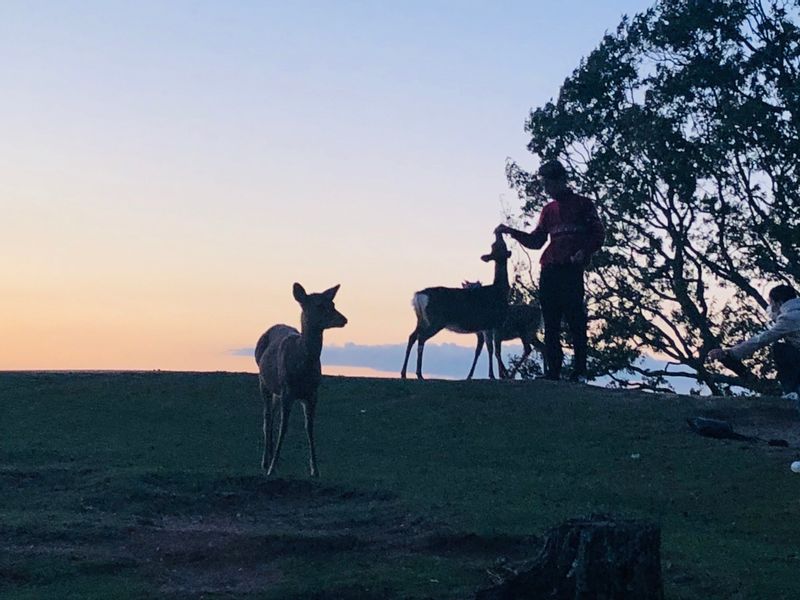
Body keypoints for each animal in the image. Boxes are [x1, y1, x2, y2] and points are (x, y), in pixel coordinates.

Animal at [255, 282, 346, 478]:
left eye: (333, 303)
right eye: (319, 305)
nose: (344, 319)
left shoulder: (313, 393)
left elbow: (309, 428)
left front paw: (315, 470)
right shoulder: (288, 391)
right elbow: (284, 427)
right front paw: (272, 469)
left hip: (277, 392)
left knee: (272, 417)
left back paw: (273, 458)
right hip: (264, 382)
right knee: (267, 418)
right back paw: (266, 462)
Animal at [404, 234, 510, 380]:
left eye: (501, 246)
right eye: (496, 246)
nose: (499, 236)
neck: (500, 291)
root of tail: (419, 296)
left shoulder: (485, 326)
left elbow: (487, 349)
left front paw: (489, 375)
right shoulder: (493, 323)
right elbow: (495, 350)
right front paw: (496, 375)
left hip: (422, 319)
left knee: (412, 336)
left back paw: (404, 373)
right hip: (436, 320)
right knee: (421, 338)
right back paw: (419, 374)